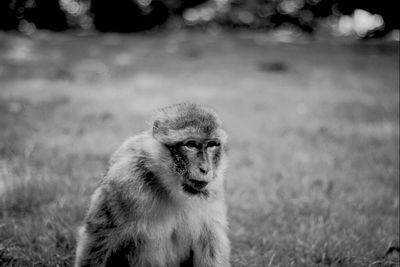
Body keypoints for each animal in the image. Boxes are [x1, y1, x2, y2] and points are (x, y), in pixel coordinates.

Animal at [74, 103, 231, 267]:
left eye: (212, 145)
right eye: (191, 144)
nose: (205, 169)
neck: (168, 187)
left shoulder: (214, 189)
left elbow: (210, 241)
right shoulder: (123, 183)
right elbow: (99, 237)